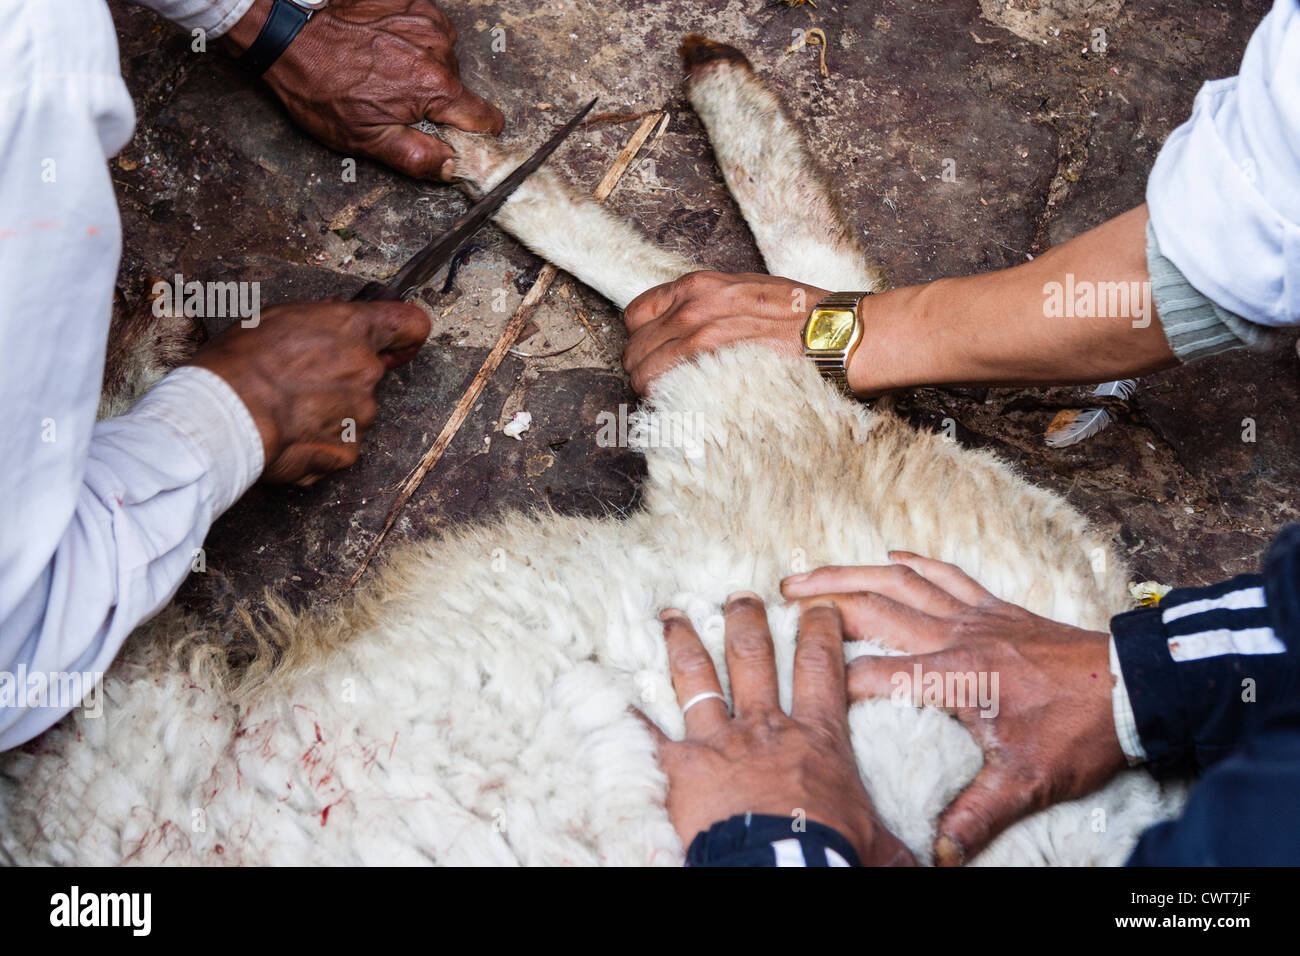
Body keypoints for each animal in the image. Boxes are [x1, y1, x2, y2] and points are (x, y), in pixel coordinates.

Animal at [0, 37, 1180, 868]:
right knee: (819, 298)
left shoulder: (114, 733)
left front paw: (142, 345)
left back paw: (573, 131)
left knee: (722, 289)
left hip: (734, 425)